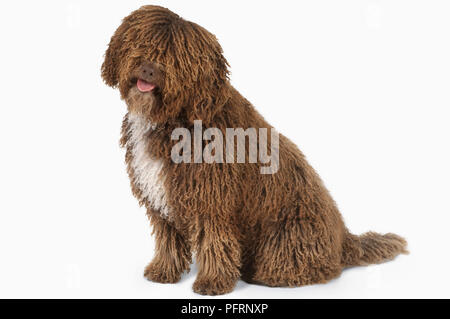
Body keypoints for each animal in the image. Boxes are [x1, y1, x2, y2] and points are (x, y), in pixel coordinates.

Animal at [101, 5, 408, 296]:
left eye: (178, 57)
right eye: (142, 41)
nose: (149, 69)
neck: (176, 119)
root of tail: (344, 238)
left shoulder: (212, 202)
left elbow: (214, 241)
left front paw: (213, 282)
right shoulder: (162, 200)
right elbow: (168, 239)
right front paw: (164, 271)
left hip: (289, 237)